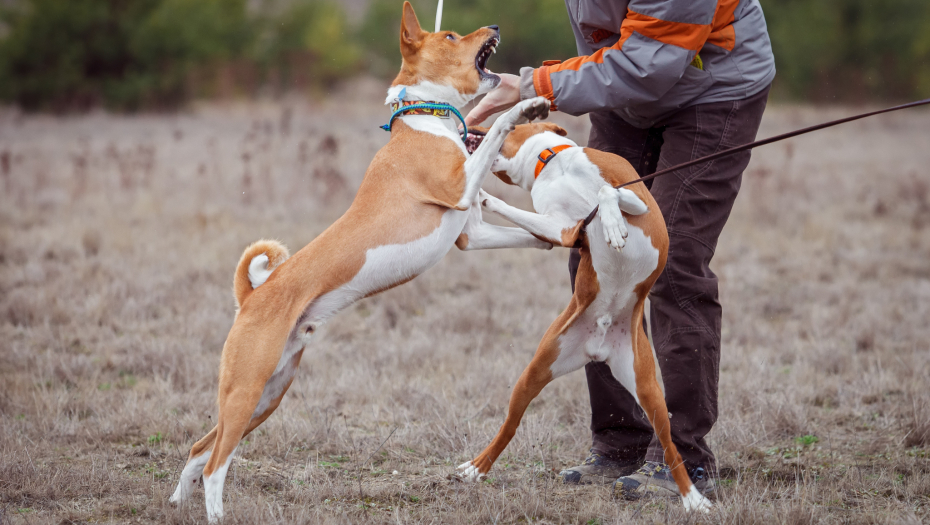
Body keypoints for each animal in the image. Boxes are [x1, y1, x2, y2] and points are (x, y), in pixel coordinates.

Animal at [167, 3, 552, 520]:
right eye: (451, 35)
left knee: (199, 448)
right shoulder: (458, 188)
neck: (425, 119)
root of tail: (251, 297)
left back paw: (175, 501)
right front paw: (523, 108)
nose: (492, 26)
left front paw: (568, 233)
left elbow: (529, 233)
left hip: (267, 395)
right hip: (247, 388)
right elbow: (498, 130)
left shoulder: (470, 233)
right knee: (214, 465)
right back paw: (216, 515)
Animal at [454, 123, 712, 512]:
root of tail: (598, 345)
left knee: (670, 450)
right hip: (536, 374)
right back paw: (476, 468)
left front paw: (613, 225)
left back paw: (693, 500)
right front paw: (482, 195)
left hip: (650, 394)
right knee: (509, 426)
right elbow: (516, 209)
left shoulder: (633, 198)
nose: (470, 128)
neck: (553, 164)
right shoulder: (562, 230)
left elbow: (606, 191)